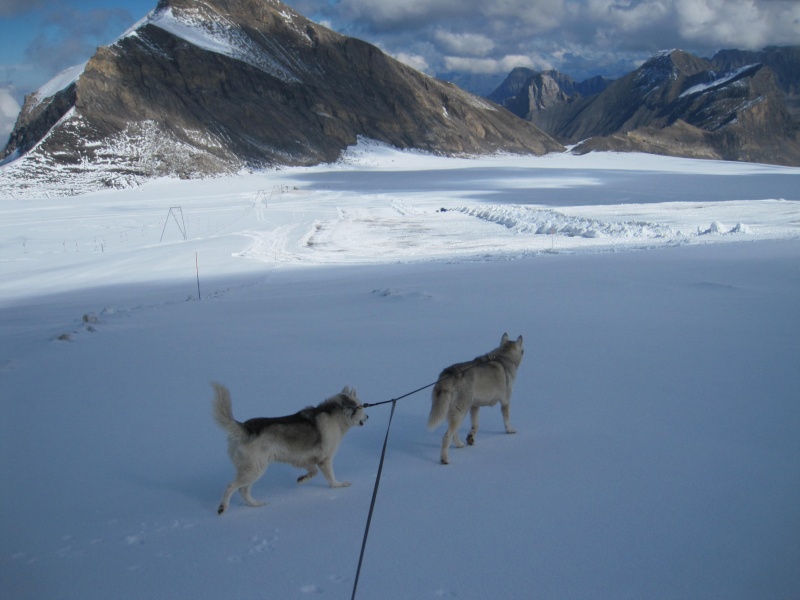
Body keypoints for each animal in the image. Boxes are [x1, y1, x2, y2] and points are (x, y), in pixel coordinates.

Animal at [209, 382, 366, 512]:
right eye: (362, 407)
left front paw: (303, 479)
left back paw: (256, 504)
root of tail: (246, 428)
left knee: (243, 491)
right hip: (254, 470)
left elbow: (313, 472)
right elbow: (331, 478)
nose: (367, 417)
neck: (336, 414)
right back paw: (223, 507)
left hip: (253, 470)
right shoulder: (325, 460)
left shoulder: (304, 459)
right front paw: (339, 485)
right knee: (231, 486)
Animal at [428, 332, 520, 464]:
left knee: (454, 432)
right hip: (460, 411)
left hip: (456, 411)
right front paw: (510, 430)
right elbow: (506, 419)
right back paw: (445, 459)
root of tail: (448, 373)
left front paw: (470, 438)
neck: (502, 358)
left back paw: (459, 444)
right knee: (446, 436)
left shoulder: (475, 406)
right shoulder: (505, 401)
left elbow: (475, 425)